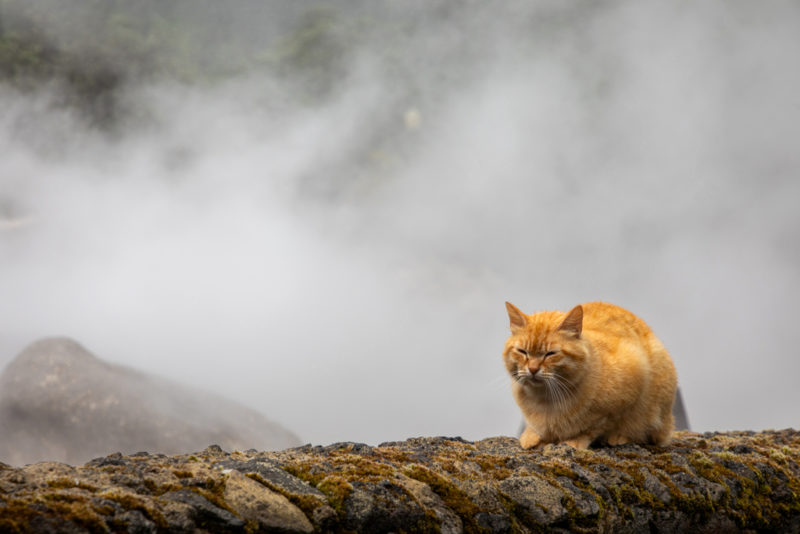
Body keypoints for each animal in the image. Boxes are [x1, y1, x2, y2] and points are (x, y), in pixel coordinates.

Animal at [504, 304, 680, 450]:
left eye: (550, 354)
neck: (544, 399)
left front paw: (575, 440)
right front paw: (532, 436)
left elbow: (594, 427)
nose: (533, 369)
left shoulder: (629, 388)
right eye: (522, 351)